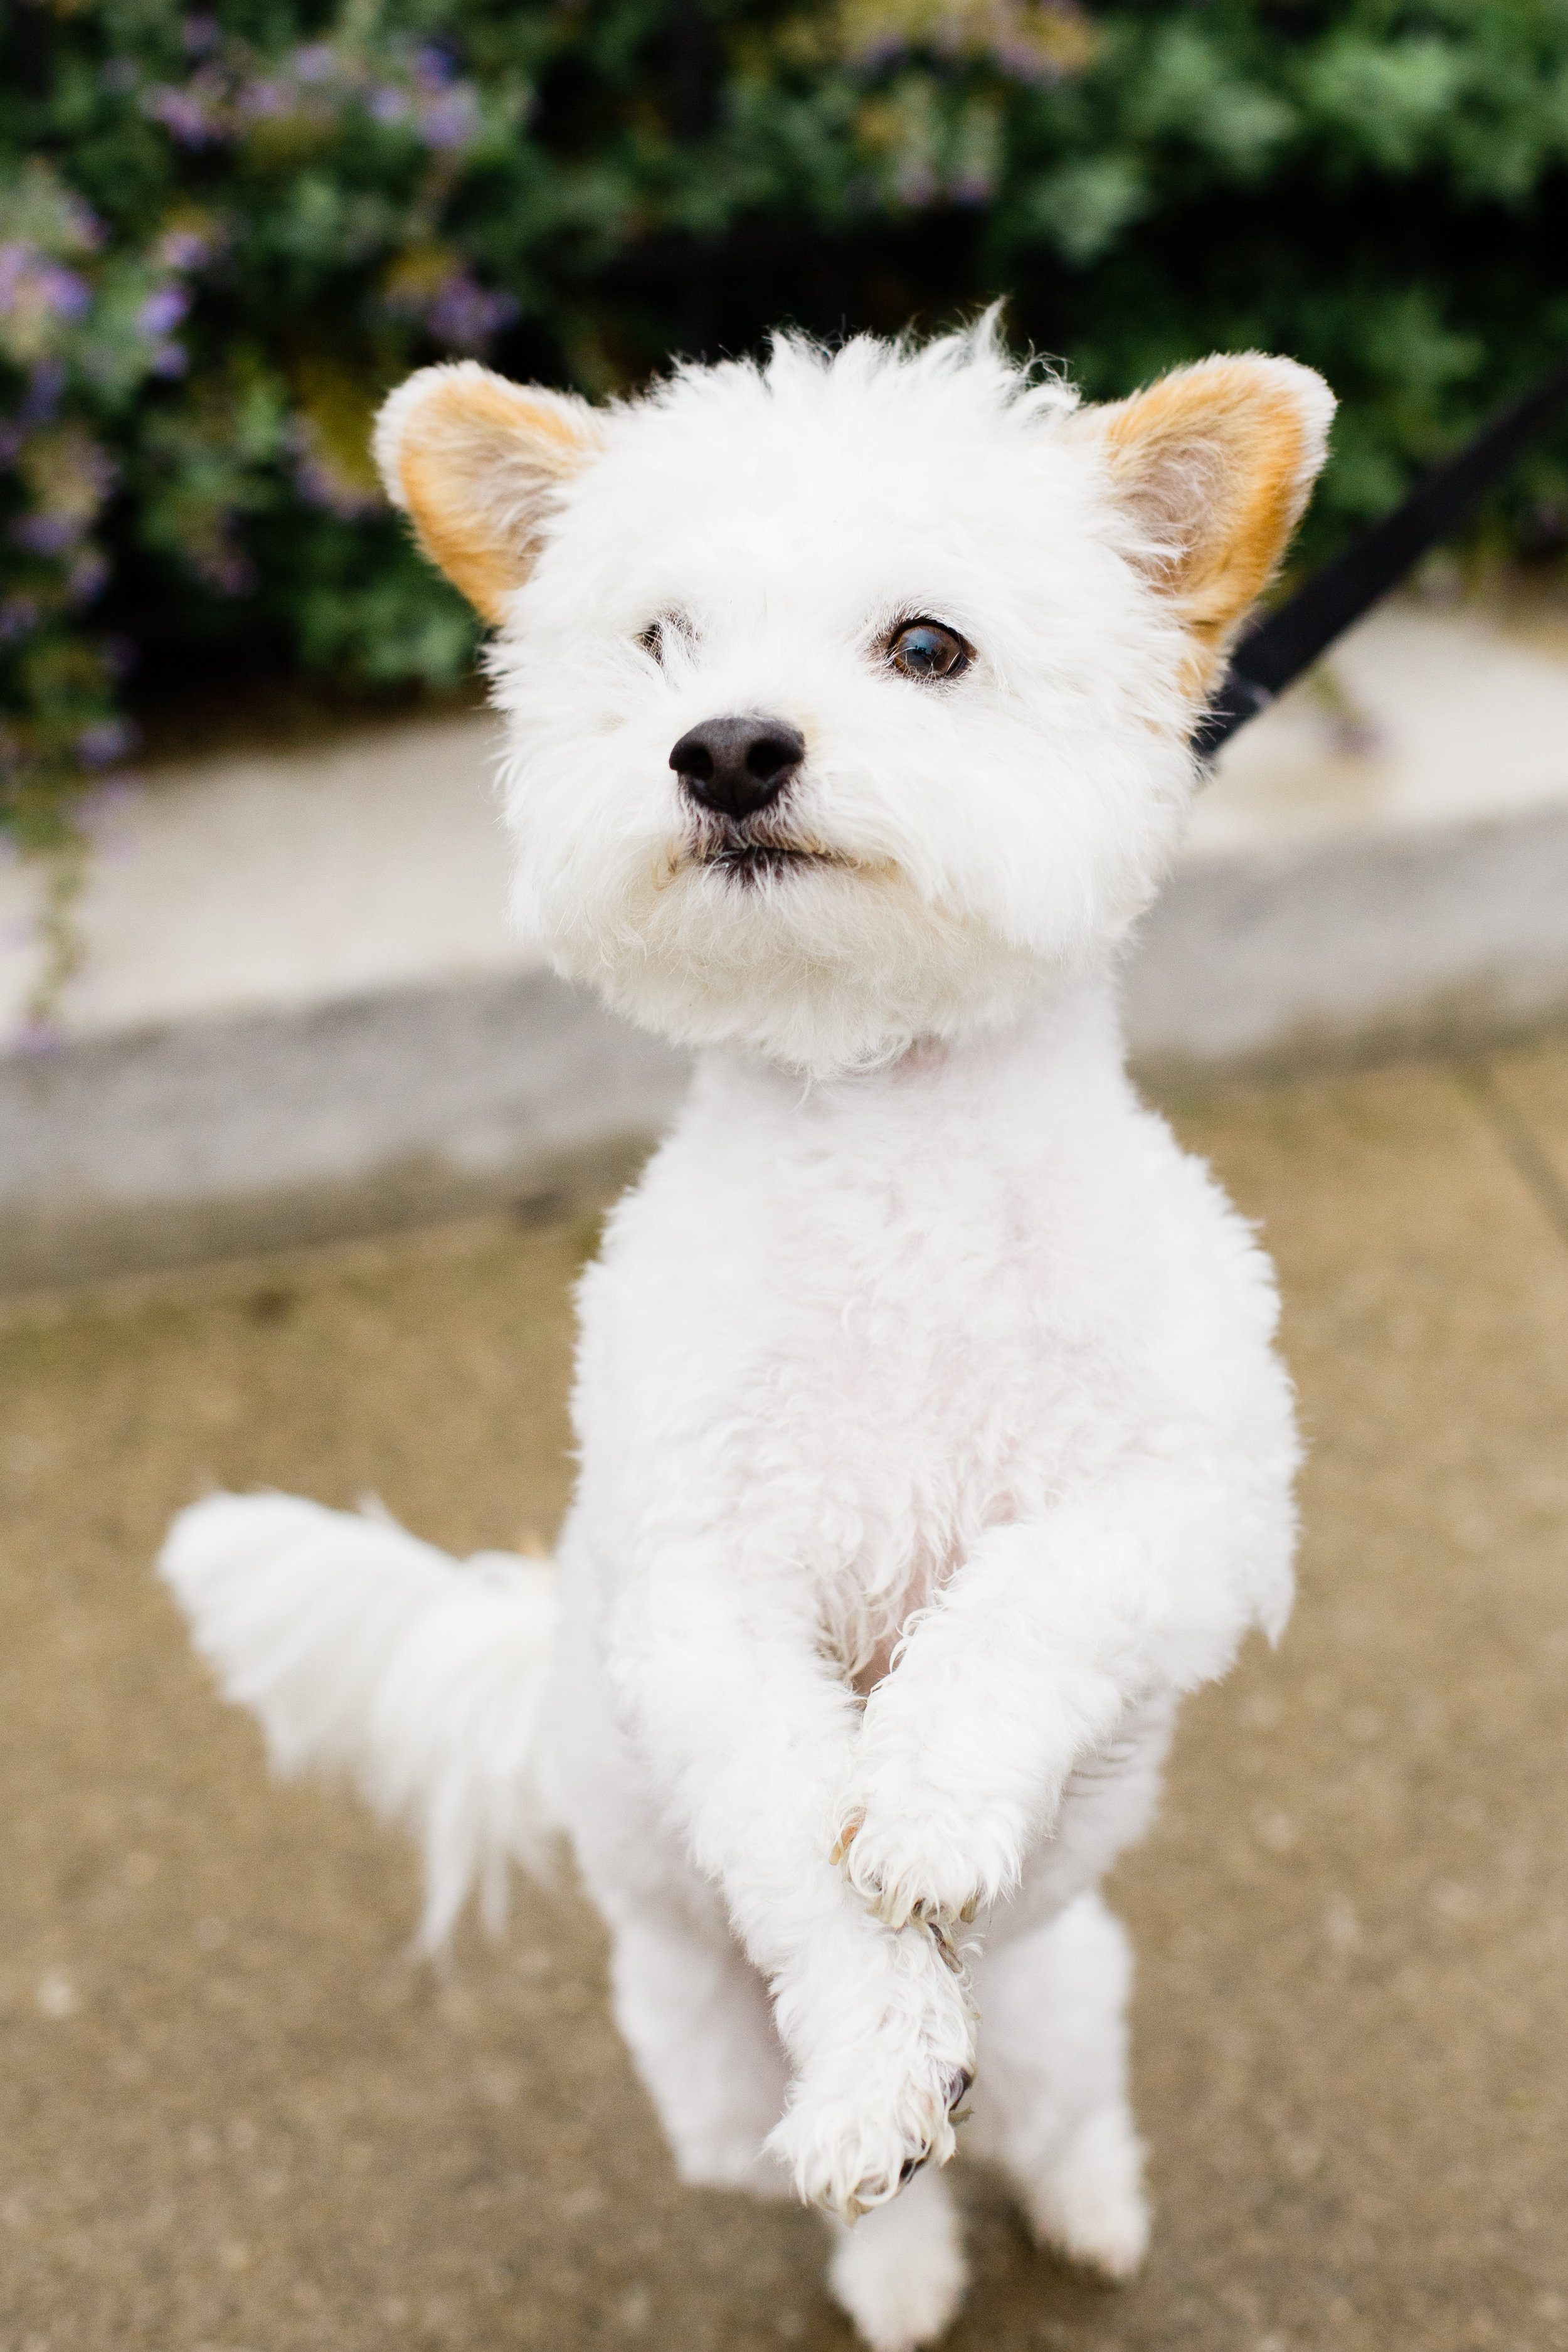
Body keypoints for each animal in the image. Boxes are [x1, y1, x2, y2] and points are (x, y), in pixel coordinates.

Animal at [159, 317, 1335, 2352]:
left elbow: (1026, 1602)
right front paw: (877, 2067)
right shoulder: (703, 1604)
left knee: (1067, 2108)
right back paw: (901, 2252)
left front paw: (931, 1794)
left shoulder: (1192, 1505)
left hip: (1074, 1982)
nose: (722, 747)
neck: (885, 1131)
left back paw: (1085, 2202)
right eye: (660, 642)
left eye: (928, 645)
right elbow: (807, 1859)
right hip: (698, 2062)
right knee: (822, 2152)